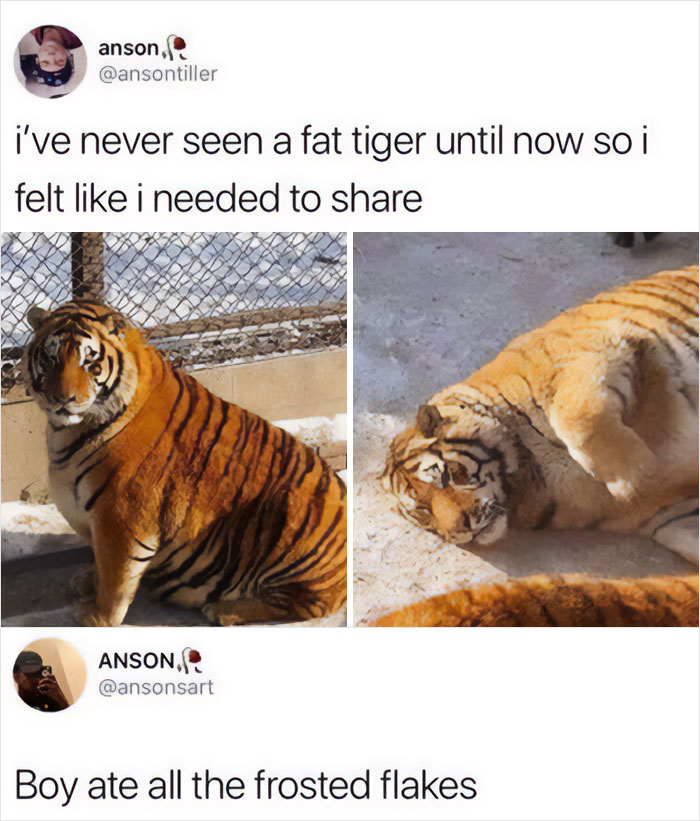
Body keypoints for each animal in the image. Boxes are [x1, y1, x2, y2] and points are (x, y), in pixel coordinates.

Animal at [23, 300, 347, 627]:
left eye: (90, 363)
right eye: (50, 358)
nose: (62, 399)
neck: (68, 432)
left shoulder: (122, 517)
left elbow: (115, 580)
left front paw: (96, 617)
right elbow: (100, 566)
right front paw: (85, 581)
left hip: (294, 511)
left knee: (307, 605)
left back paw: (222, 609)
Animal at [381, 266, 699, 625]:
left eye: (447, 475)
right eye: (423, 511)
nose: (460, 530)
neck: (529, 482)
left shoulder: (596, 349)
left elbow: (574, 415)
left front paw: (638, 477)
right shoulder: (669, 516)